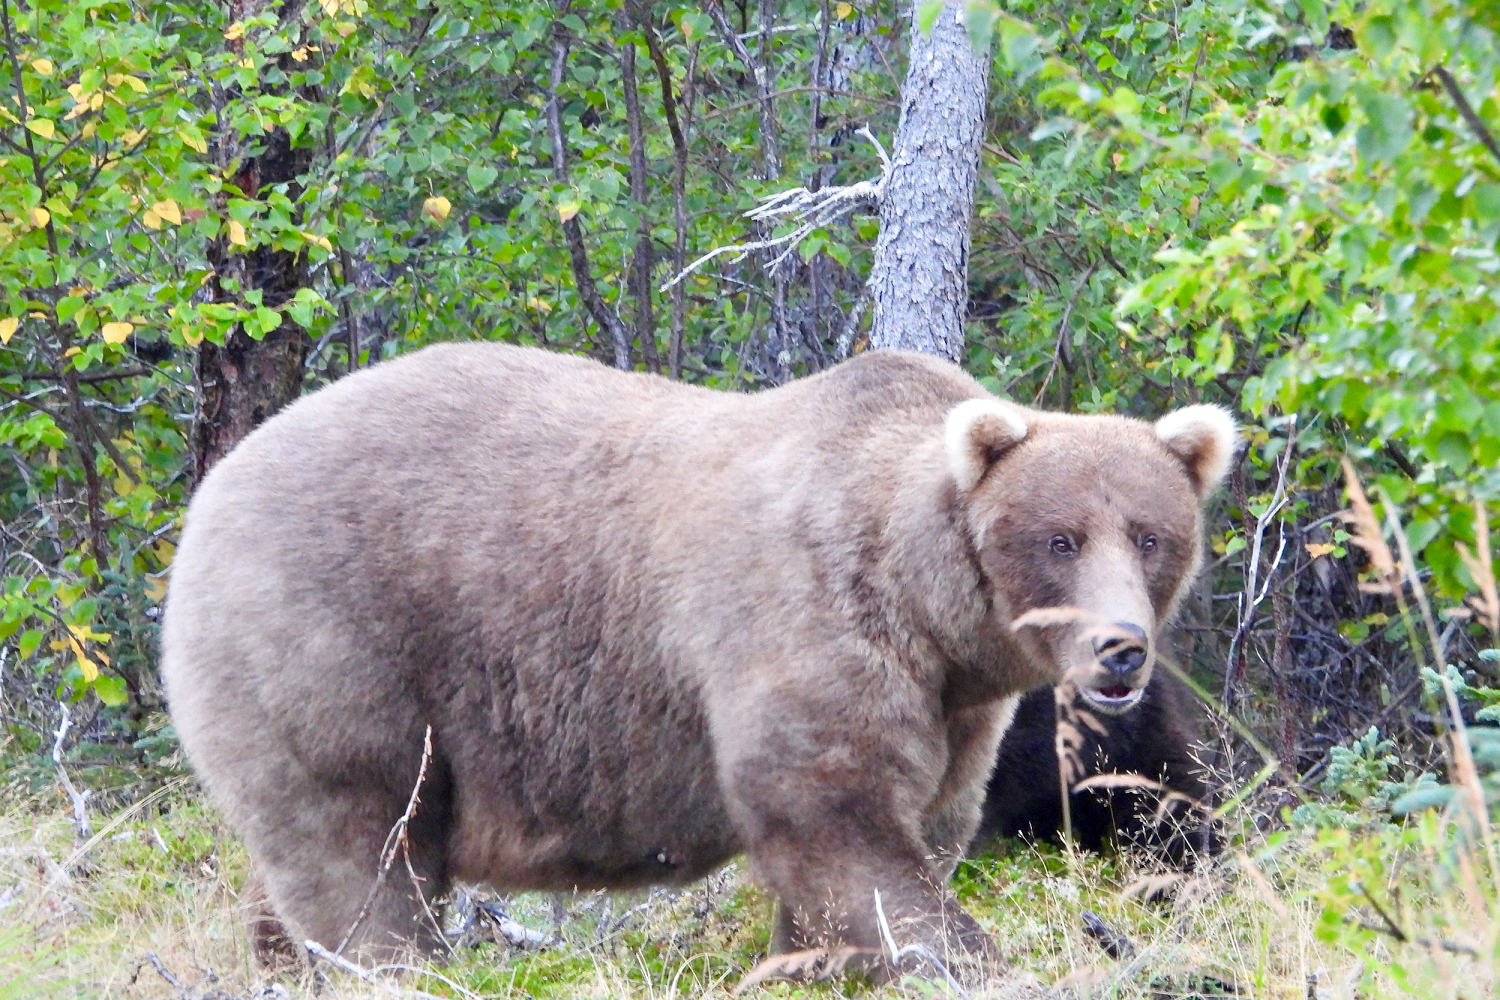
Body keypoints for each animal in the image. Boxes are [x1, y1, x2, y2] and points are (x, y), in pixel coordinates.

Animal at [161, 344, 1230, 977]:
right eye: (1059, 538)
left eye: (1149, 536)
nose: (1120, 649)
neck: (929, 608)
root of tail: (216, 482)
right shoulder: (806, 620)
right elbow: (835, 817)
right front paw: (959, 955)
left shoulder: (956, 708)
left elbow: (919, 825)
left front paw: (807, 963)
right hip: (338, 641)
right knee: (363, 854)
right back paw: (388, 965)